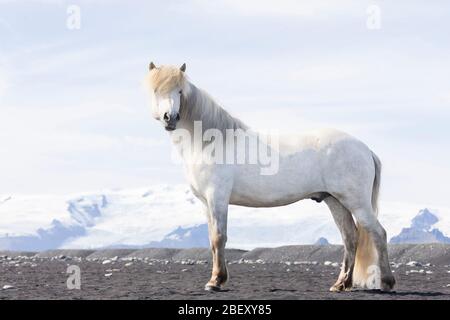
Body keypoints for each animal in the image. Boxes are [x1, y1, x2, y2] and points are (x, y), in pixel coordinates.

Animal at [146, 62, 396, 292]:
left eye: (180, 91)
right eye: (156, 90)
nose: (170, 117)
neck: (209, 142)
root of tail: (365, 149)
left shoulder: (217, 198)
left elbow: (219, 238)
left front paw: (215, 281)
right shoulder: (205, 203)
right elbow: (212, 240)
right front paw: (217, 279)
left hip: (356, 202)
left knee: (378, 233)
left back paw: (386, 282)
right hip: (335, 201)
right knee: (350, 237)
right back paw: (341, 284)